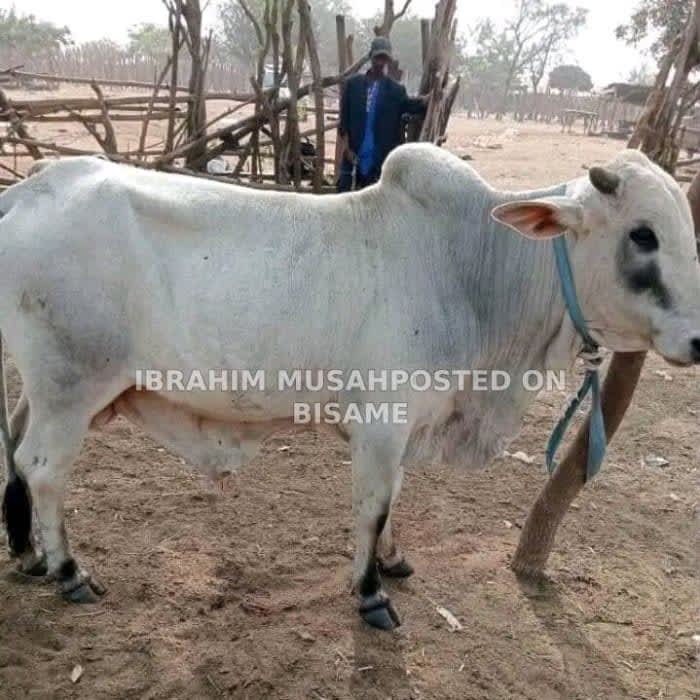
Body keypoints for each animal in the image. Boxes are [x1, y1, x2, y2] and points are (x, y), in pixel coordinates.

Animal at [0, 144, 698, 631]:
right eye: (642, 233)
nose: (697, 341)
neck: (474, 268)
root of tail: (29, 189)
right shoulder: (382, 422)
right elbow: (374, 504)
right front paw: (370, 593)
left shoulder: (407, 424)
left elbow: (397, 496)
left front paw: (392, 559)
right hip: (73, 386)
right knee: (42, 468)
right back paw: (68, 571)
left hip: (46, 387)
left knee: (13, 448)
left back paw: (27, 552)